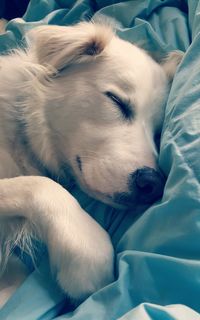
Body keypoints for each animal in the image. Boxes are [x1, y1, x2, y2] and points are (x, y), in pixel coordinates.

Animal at [0, 21, 182, 306]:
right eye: (116, 101)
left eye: (157, 132)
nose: (152, 184)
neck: (22, 131)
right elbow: (41, 185)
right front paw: (88, 248)